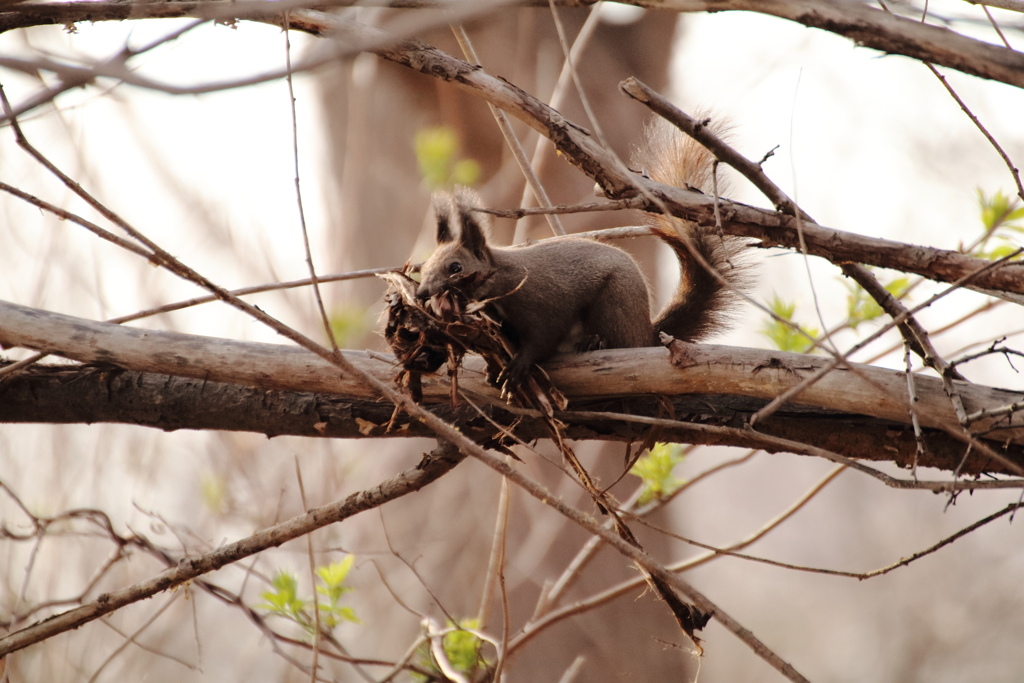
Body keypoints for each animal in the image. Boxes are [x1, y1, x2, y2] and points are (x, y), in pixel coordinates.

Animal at [411, 120, 749, 393]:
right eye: (424, 268)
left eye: (456, 267)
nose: (421, 293)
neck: (504, 278)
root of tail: (647, 333)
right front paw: (493, 369)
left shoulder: (543, 303)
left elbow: (542, 339)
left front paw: (519, 365)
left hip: (614, 305)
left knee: (618, 340)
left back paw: (595, 342)